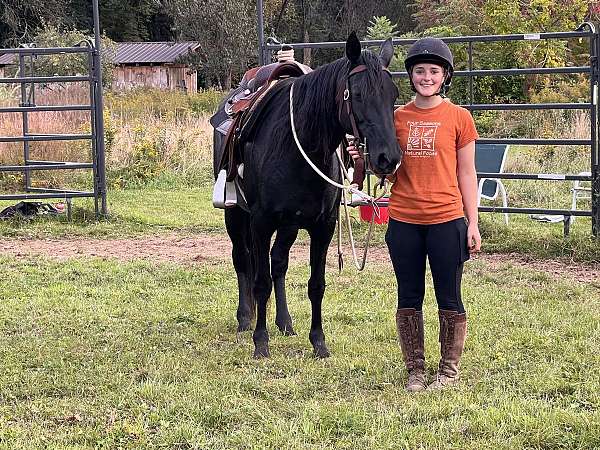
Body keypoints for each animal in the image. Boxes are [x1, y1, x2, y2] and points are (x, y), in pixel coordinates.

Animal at [213, 34, 400, 358]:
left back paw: (285, 322)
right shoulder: (260, 222)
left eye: (393, 94)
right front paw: (261, 342)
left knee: (278, 264)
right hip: (235, 216)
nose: (388, 158)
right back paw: (246, 317)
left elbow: (316, 284)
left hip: (288, 226)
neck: (297, 144)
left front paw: (318, 342)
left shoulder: (323, 226)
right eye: (357, 94)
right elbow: (260, 281)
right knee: (242, 259)